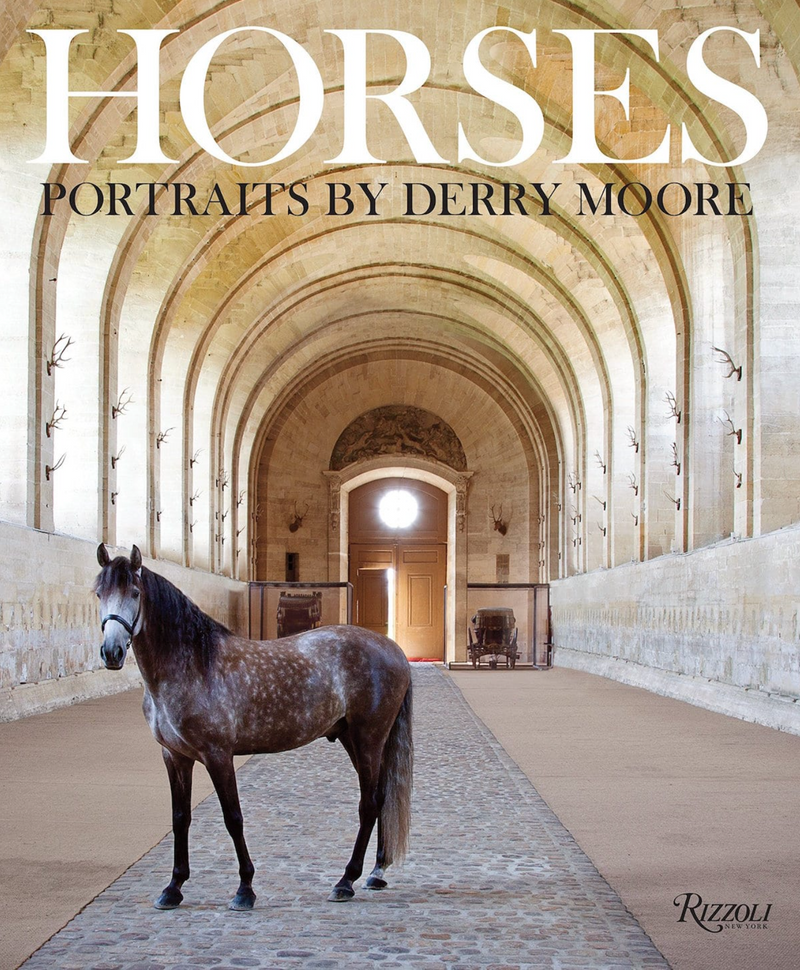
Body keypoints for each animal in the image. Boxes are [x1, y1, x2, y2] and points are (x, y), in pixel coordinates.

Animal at [94, 544, 413, 911]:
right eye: (99, 593)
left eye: (134, 593)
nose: (112, 652)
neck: (194, 664)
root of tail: (394, 650)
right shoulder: (175, 757)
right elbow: (180, 818)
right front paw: (173, 888)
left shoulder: (218, 756)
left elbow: (233, 818)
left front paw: (245, 888)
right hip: (355, 738)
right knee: (381, 798)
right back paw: (377, 872)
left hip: (368, 739)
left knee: (369, 804)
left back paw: (346, 881)